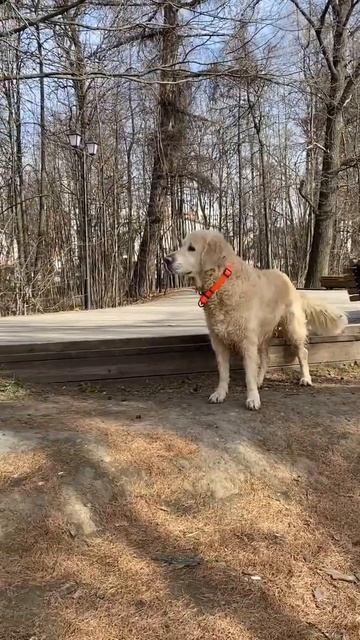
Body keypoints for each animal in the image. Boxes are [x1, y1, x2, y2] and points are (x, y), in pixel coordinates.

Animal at [165, 230, 348, 410]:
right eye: (182, 245)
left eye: (191, 248)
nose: (166, 259)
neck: (223, 283)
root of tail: (291, 283)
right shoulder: (219, 341)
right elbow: (223, 372)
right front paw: (220, 393)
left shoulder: (247, 342)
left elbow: (248, 376)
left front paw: (253, 398)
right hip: (263, 335)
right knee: (266, 358)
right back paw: (261, 380)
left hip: (292, 328)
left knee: (302, 353)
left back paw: (306, 378)